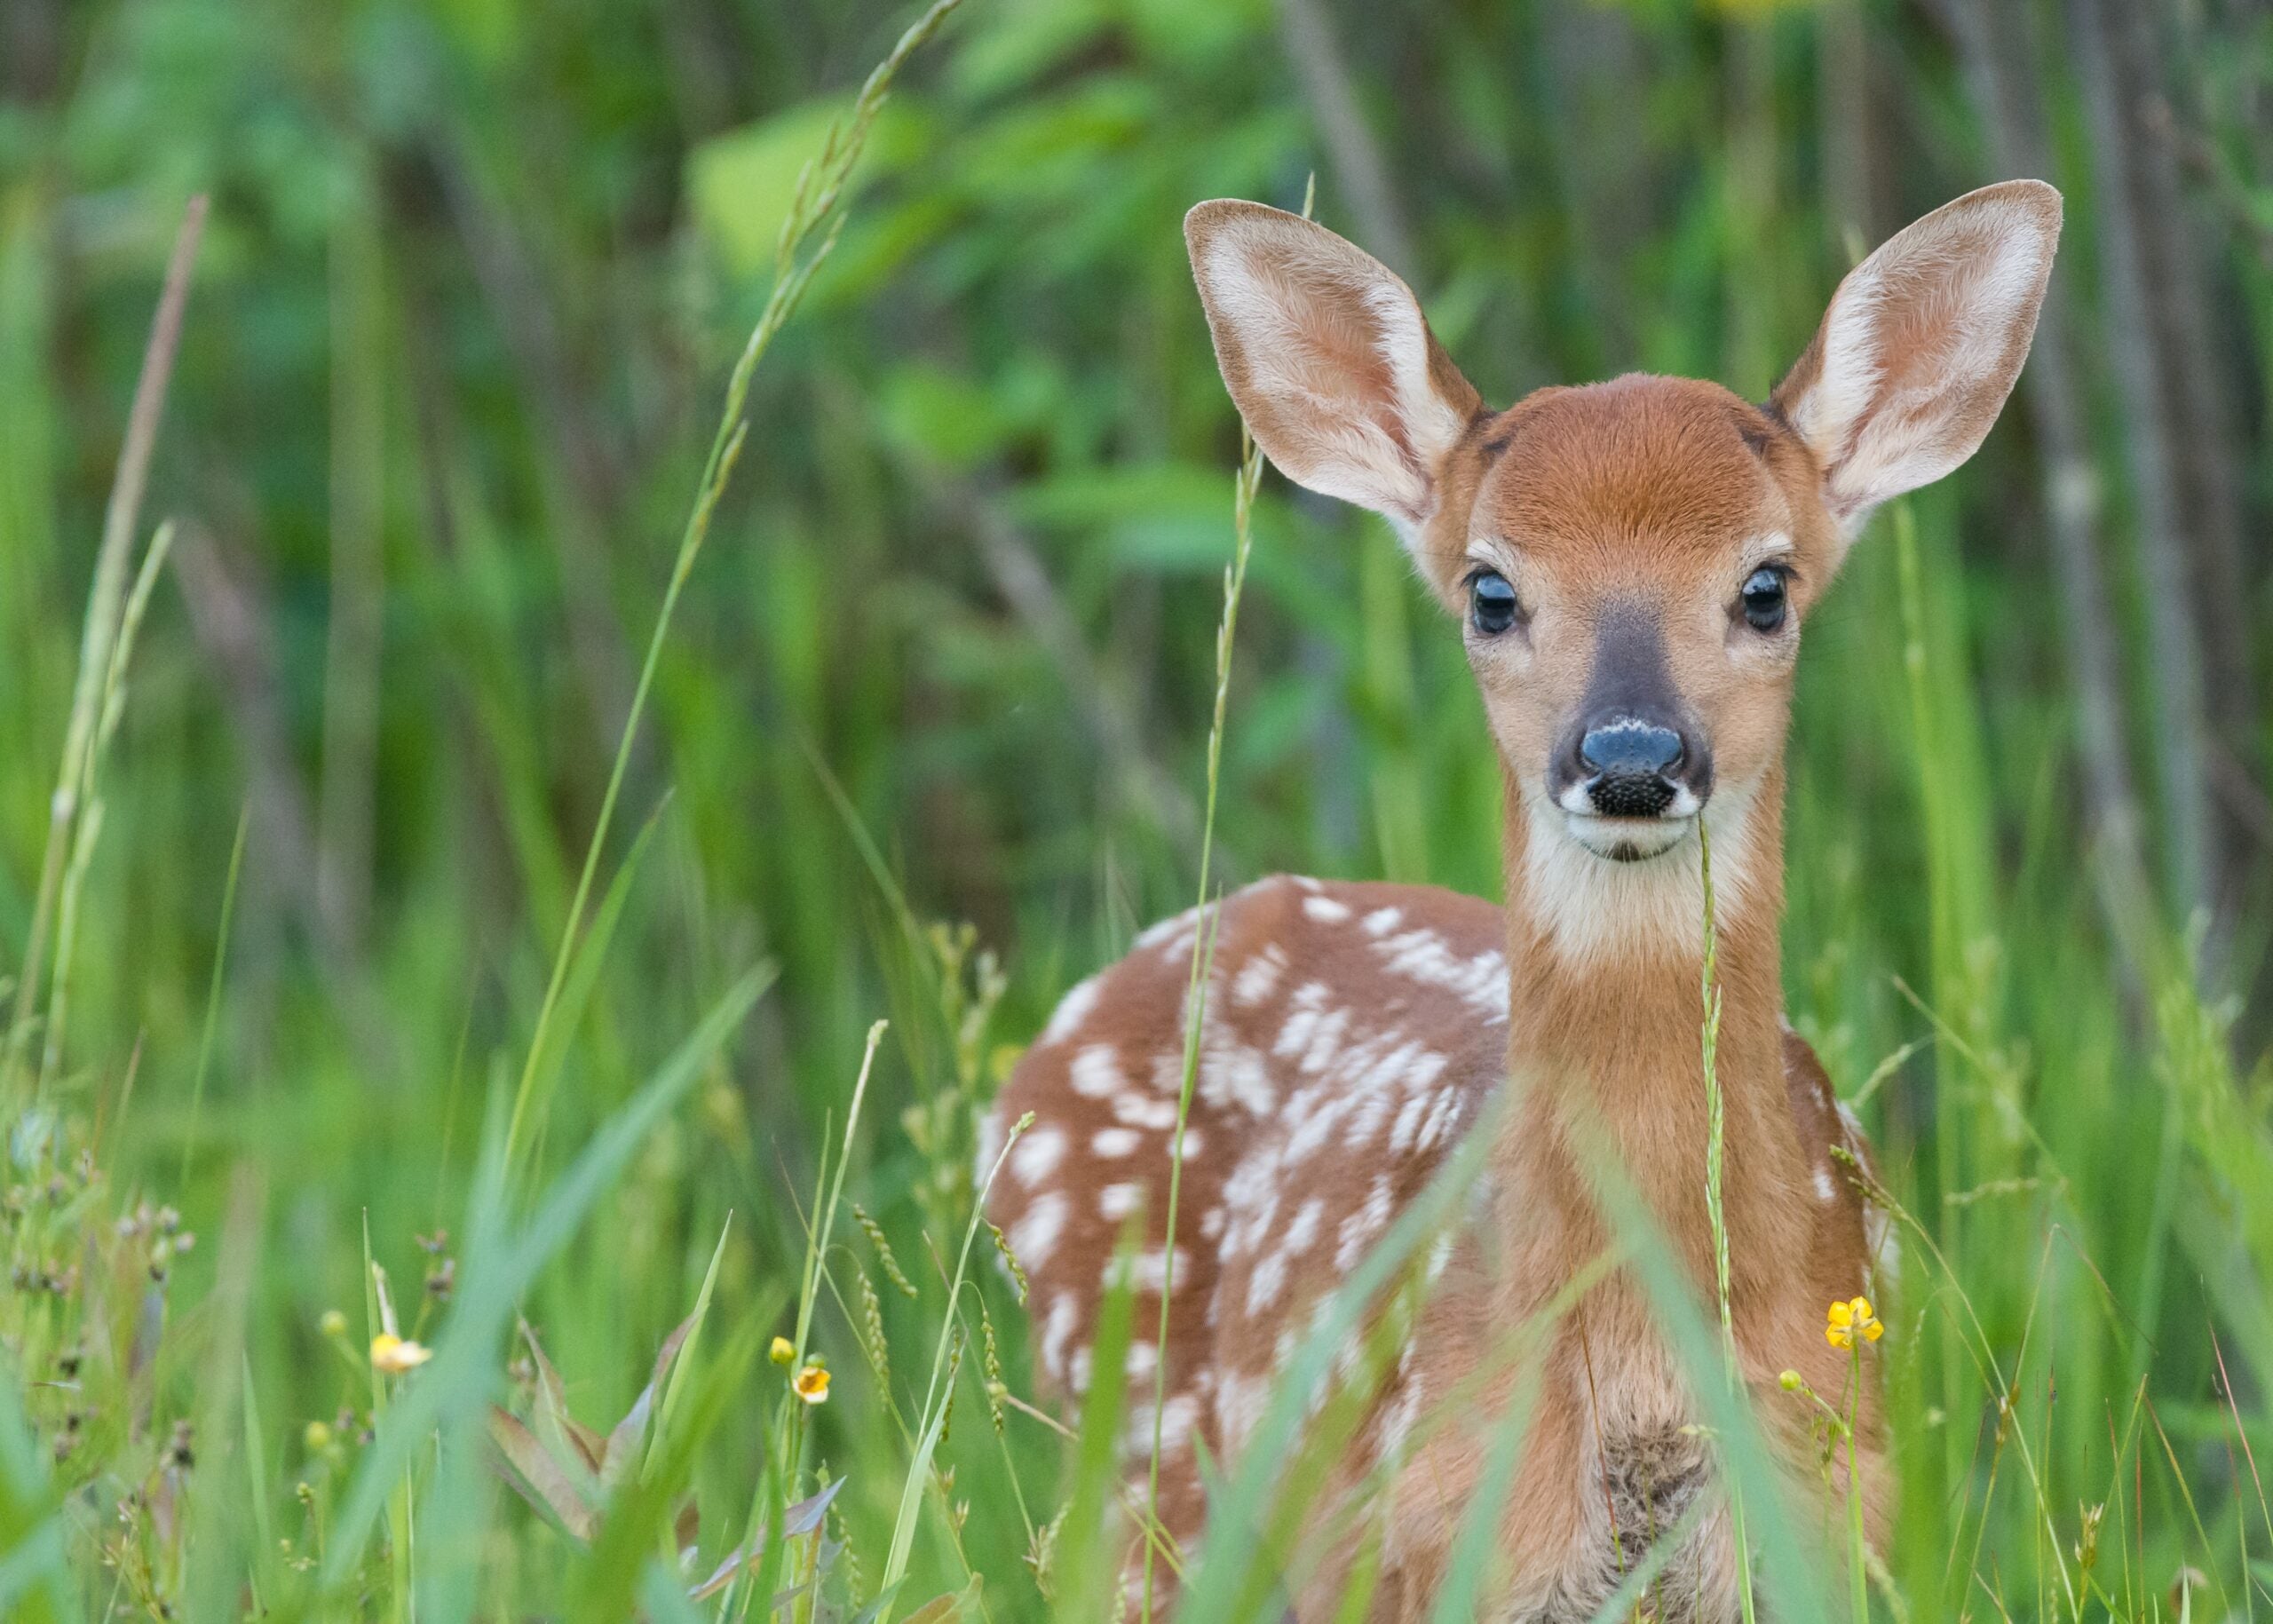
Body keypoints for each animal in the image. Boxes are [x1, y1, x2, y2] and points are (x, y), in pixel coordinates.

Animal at [983, 180, 2061, 1620]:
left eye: (1765, 584)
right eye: (1491, 591)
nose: (1631, 758)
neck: (1640, 1376)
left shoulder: (1850, 1524)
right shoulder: (1426, 1547)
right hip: (1137, 1475)